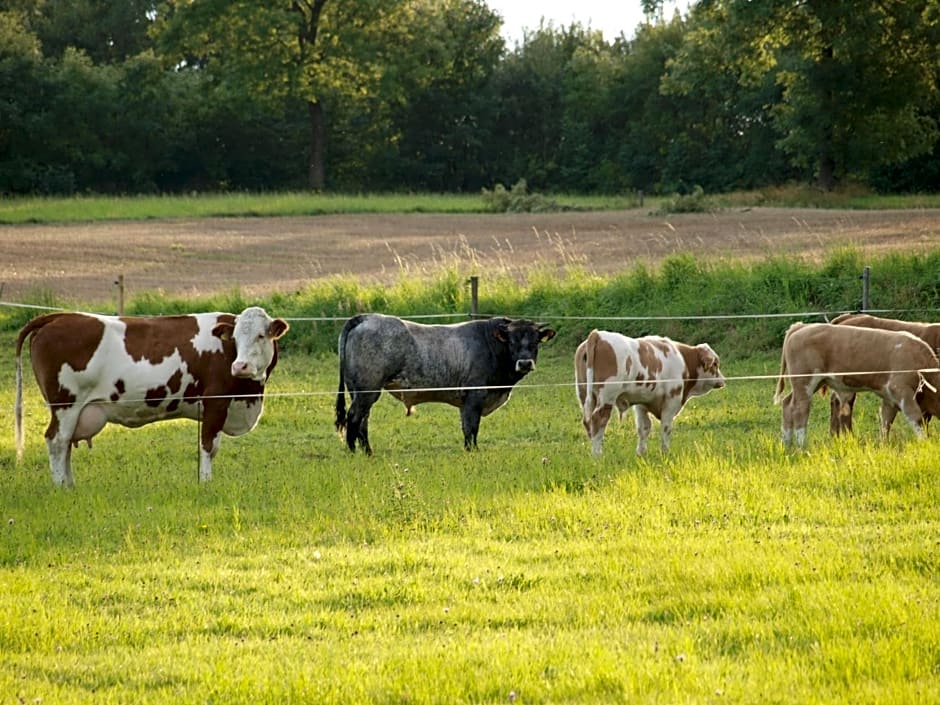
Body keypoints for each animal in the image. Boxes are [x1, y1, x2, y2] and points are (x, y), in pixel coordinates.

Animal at [13, 306, 286, 486]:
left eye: (261, 335)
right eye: (236, 338)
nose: (240, 366)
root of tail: (59, 316)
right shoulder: (215, 402)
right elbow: (209, 446)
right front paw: (205, 482)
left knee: (66, 444)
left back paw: (70, 486)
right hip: (65, 404)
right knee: (57, 441)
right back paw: (61, 486)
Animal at [336, 312, 560, 452]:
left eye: (535, 342)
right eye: (512, 341)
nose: (525, 363)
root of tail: (366, 317)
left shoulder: (465, 402)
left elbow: (466, 428)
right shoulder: (475, 396)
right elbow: (472, 428)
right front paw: (473, 451)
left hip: (359, 391)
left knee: (363, 421)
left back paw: (368, 452)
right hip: (367, 391)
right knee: (354, 418)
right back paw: (353, 452)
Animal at [572, 330, 728, 456]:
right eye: (715, 364)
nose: (723, 380)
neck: (683, 360)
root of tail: (598, 334)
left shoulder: (642, 402)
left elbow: (644, 428)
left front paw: (641, 452)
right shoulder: (672, 400)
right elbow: (666, 427)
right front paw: (665, 452)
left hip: (584, 394)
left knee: (588, 422)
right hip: (607, 396)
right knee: (598, 420)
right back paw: (597, 454)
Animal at [772, 324, 940, 448]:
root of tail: (800, 326)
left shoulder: (889, 398)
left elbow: (886, 421)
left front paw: (883, 445)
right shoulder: (900, 389)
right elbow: (915, 417)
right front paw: (925, 443)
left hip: (812, 383)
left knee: (787, 404)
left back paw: (786, 444)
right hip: (804, 382)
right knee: (800, 410)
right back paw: (802, 446)